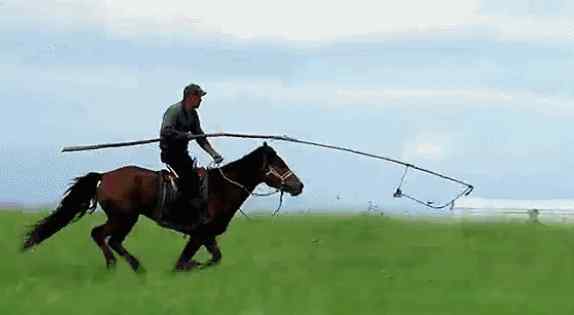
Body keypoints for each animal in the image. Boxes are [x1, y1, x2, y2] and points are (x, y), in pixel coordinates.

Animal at [21, 144, 306, 272]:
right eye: (279, 164)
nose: (298, 185)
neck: (221, 188)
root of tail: (105, 176)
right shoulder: (198, 234)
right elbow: (185, 261)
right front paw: (188, 267)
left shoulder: (207, 235)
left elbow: (215, 258)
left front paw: (194, 266)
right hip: (124, 217)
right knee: (102, 236)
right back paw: (120, 265)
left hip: (125, 218)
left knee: (109, 239)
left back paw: (134, 267)